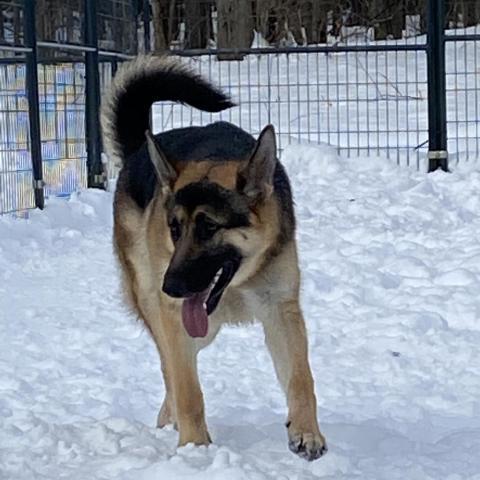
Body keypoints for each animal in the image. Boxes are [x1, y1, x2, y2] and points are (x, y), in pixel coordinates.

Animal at [101, 55, 326, 462]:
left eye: (208, 227)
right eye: (174, 228)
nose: (171, 287)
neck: (237, 284)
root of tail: (140, 152)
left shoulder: (281, 311)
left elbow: (301, 377)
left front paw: (306, 431)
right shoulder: (176, 318)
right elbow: (188, 390)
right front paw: (195, 449)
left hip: (202, 328)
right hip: (159, 310)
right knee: (170, 371)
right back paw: (171, 421)